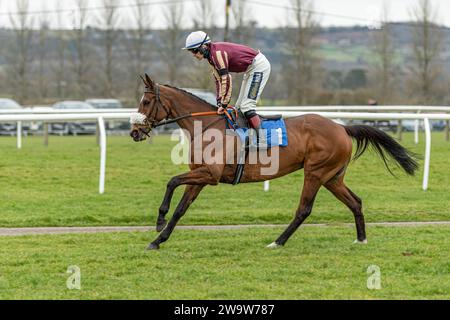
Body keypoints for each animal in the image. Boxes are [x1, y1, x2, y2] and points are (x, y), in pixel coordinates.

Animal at [130, 74, 418, 250]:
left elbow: (171, 181)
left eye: (146, 101)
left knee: (304, 210)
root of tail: (341, 127)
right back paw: (361, 239)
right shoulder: (200, 175)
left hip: (315, 173)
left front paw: (159, 220)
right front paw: (158, 239)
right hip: (332, 177)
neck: (208, 126)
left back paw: (277, 242)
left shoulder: (210, 175)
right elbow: (181, 208)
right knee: (355, 202)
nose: (134, 132)